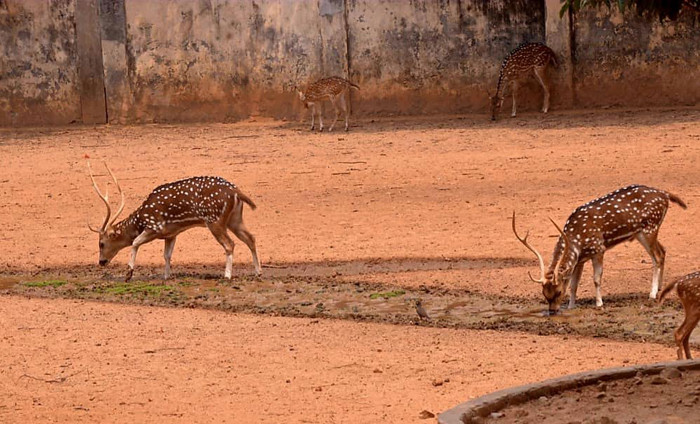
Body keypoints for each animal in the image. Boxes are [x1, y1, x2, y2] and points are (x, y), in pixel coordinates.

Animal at [87, 162, 262, 282]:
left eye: (101, 243)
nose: (101, 261)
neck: (140, 220)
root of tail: (236, 192)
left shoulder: (155, 226)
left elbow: (135, 242)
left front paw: (128, 274)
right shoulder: (171, 233)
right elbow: (167, 255)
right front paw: (166, 276)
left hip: (214, 220)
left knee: (229, 244)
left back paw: (227, 275)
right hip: (235, 219)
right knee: (251, 238)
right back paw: (258, 272)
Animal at [512, 186, 688, 314]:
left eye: (558, 292)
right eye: (544, 294)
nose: (553, 311)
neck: (577, 239)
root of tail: (665, 194)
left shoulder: (598, 248)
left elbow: (596, 279)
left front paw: (599, 304)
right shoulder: (580, 259)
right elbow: (574, 284)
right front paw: (571, 306)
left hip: (649, 228)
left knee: (657, 256)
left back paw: (652, 294)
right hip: (644, 232)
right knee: (662, 251)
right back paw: (659, 289)